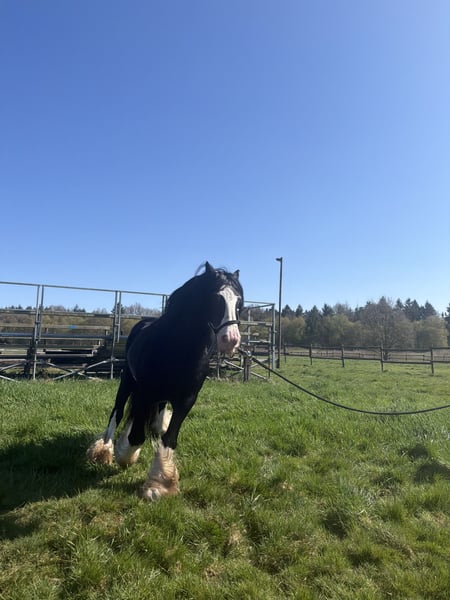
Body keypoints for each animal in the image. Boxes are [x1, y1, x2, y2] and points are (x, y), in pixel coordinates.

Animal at [87, 262, 243, 500]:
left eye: (239, 303)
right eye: (215, 298)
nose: (231, 340)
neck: (177, 348)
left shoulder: (187, 399)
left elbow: (169, 437)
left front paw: (159, 484)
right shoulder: (145, 393)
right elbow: (136, 436)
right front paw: (124, 455)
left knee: (155, 417)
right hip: (127, 382)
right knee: (118, 413)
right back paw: (104, 450)